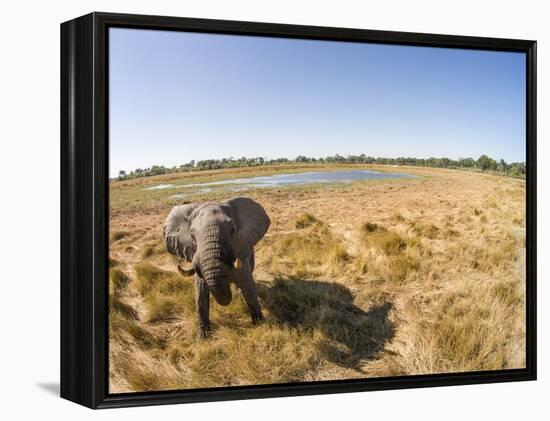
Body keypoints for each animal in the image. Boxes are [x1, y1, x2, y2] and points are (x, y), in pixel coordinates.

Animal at [164, 197, 272, 338]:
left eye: (232, 230)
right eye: (192, 235)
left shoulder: (241, 249)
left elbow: (248, 287)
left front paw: (260, 325)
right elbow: (200, 295)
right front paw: (203, 337)